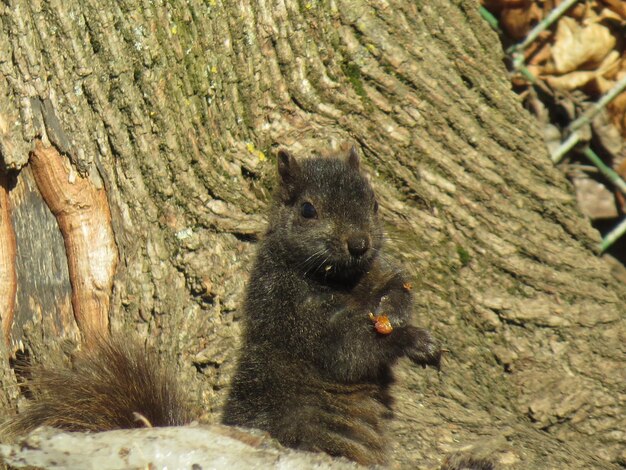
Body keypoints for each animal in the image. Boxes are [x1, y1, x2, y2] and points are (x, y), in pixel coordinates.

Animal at [222, 149, 442, 464]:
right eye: (307, 210)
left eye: (374, 204)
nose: (360, 244)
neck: (342, 280)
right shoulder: (295, 314)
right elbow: (350, 351)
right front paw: (414, 340)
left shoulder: (376, 271)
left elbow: (398, 283)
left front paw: (392, 308)